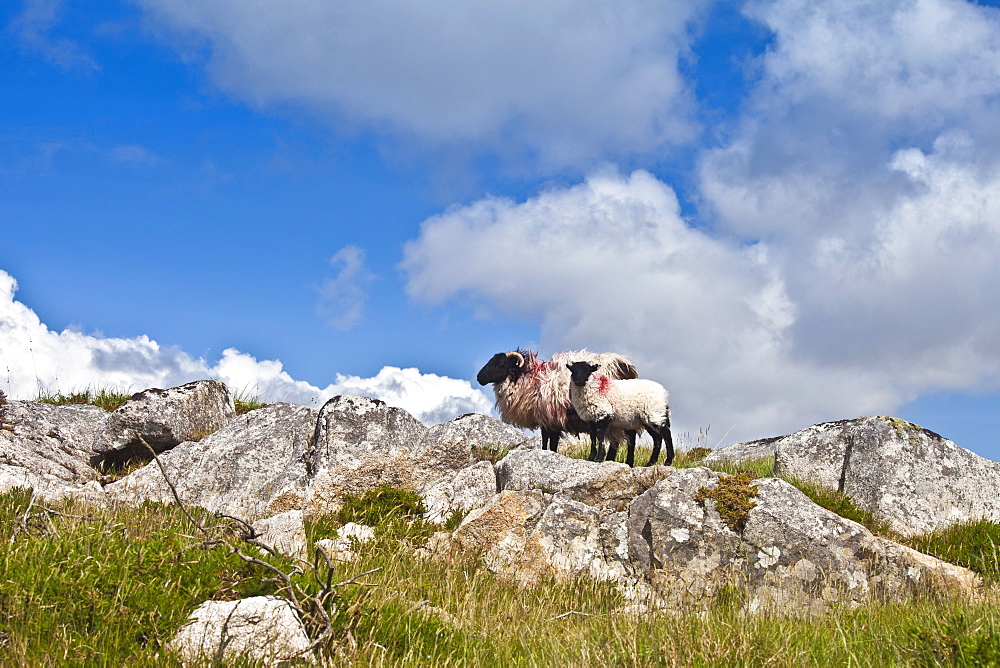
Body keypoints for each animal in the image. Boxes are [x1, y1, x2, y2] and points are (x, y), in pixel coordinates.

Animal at [478, 350, 640, 460]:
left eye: (500, 363)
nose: (479, 377)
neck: (531, 380)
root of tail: (625, 367)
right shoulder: (545, 420)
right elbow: (545, 442)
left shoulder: (553, 419)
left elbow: (552, 444)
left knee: (626, 437)